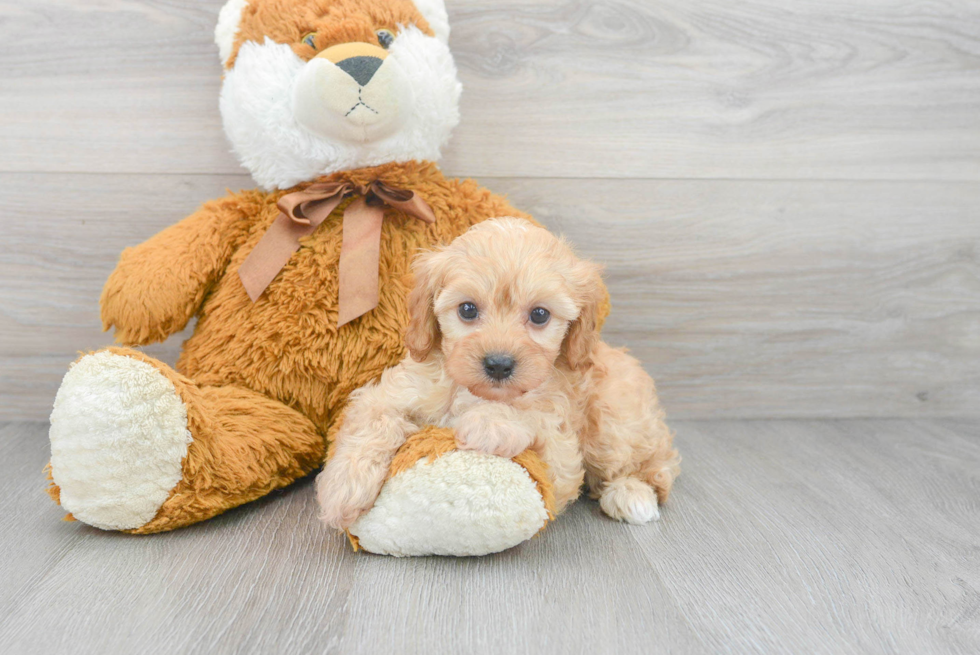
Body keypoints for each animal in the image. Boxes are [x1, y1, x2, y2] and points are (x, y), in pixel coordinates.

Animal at [316, 218, 680, 532]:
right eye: (467, 309)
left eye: (539, 315)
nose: (499, 364)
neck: (475, 392)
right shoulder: (391, 393)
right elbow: (373, 422)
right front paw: (343, 488)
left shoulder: (561, 458)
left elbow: (534, 419)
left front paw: (490, 422)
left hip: (615, 420)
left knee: (656, 466)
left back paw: (632, 494)